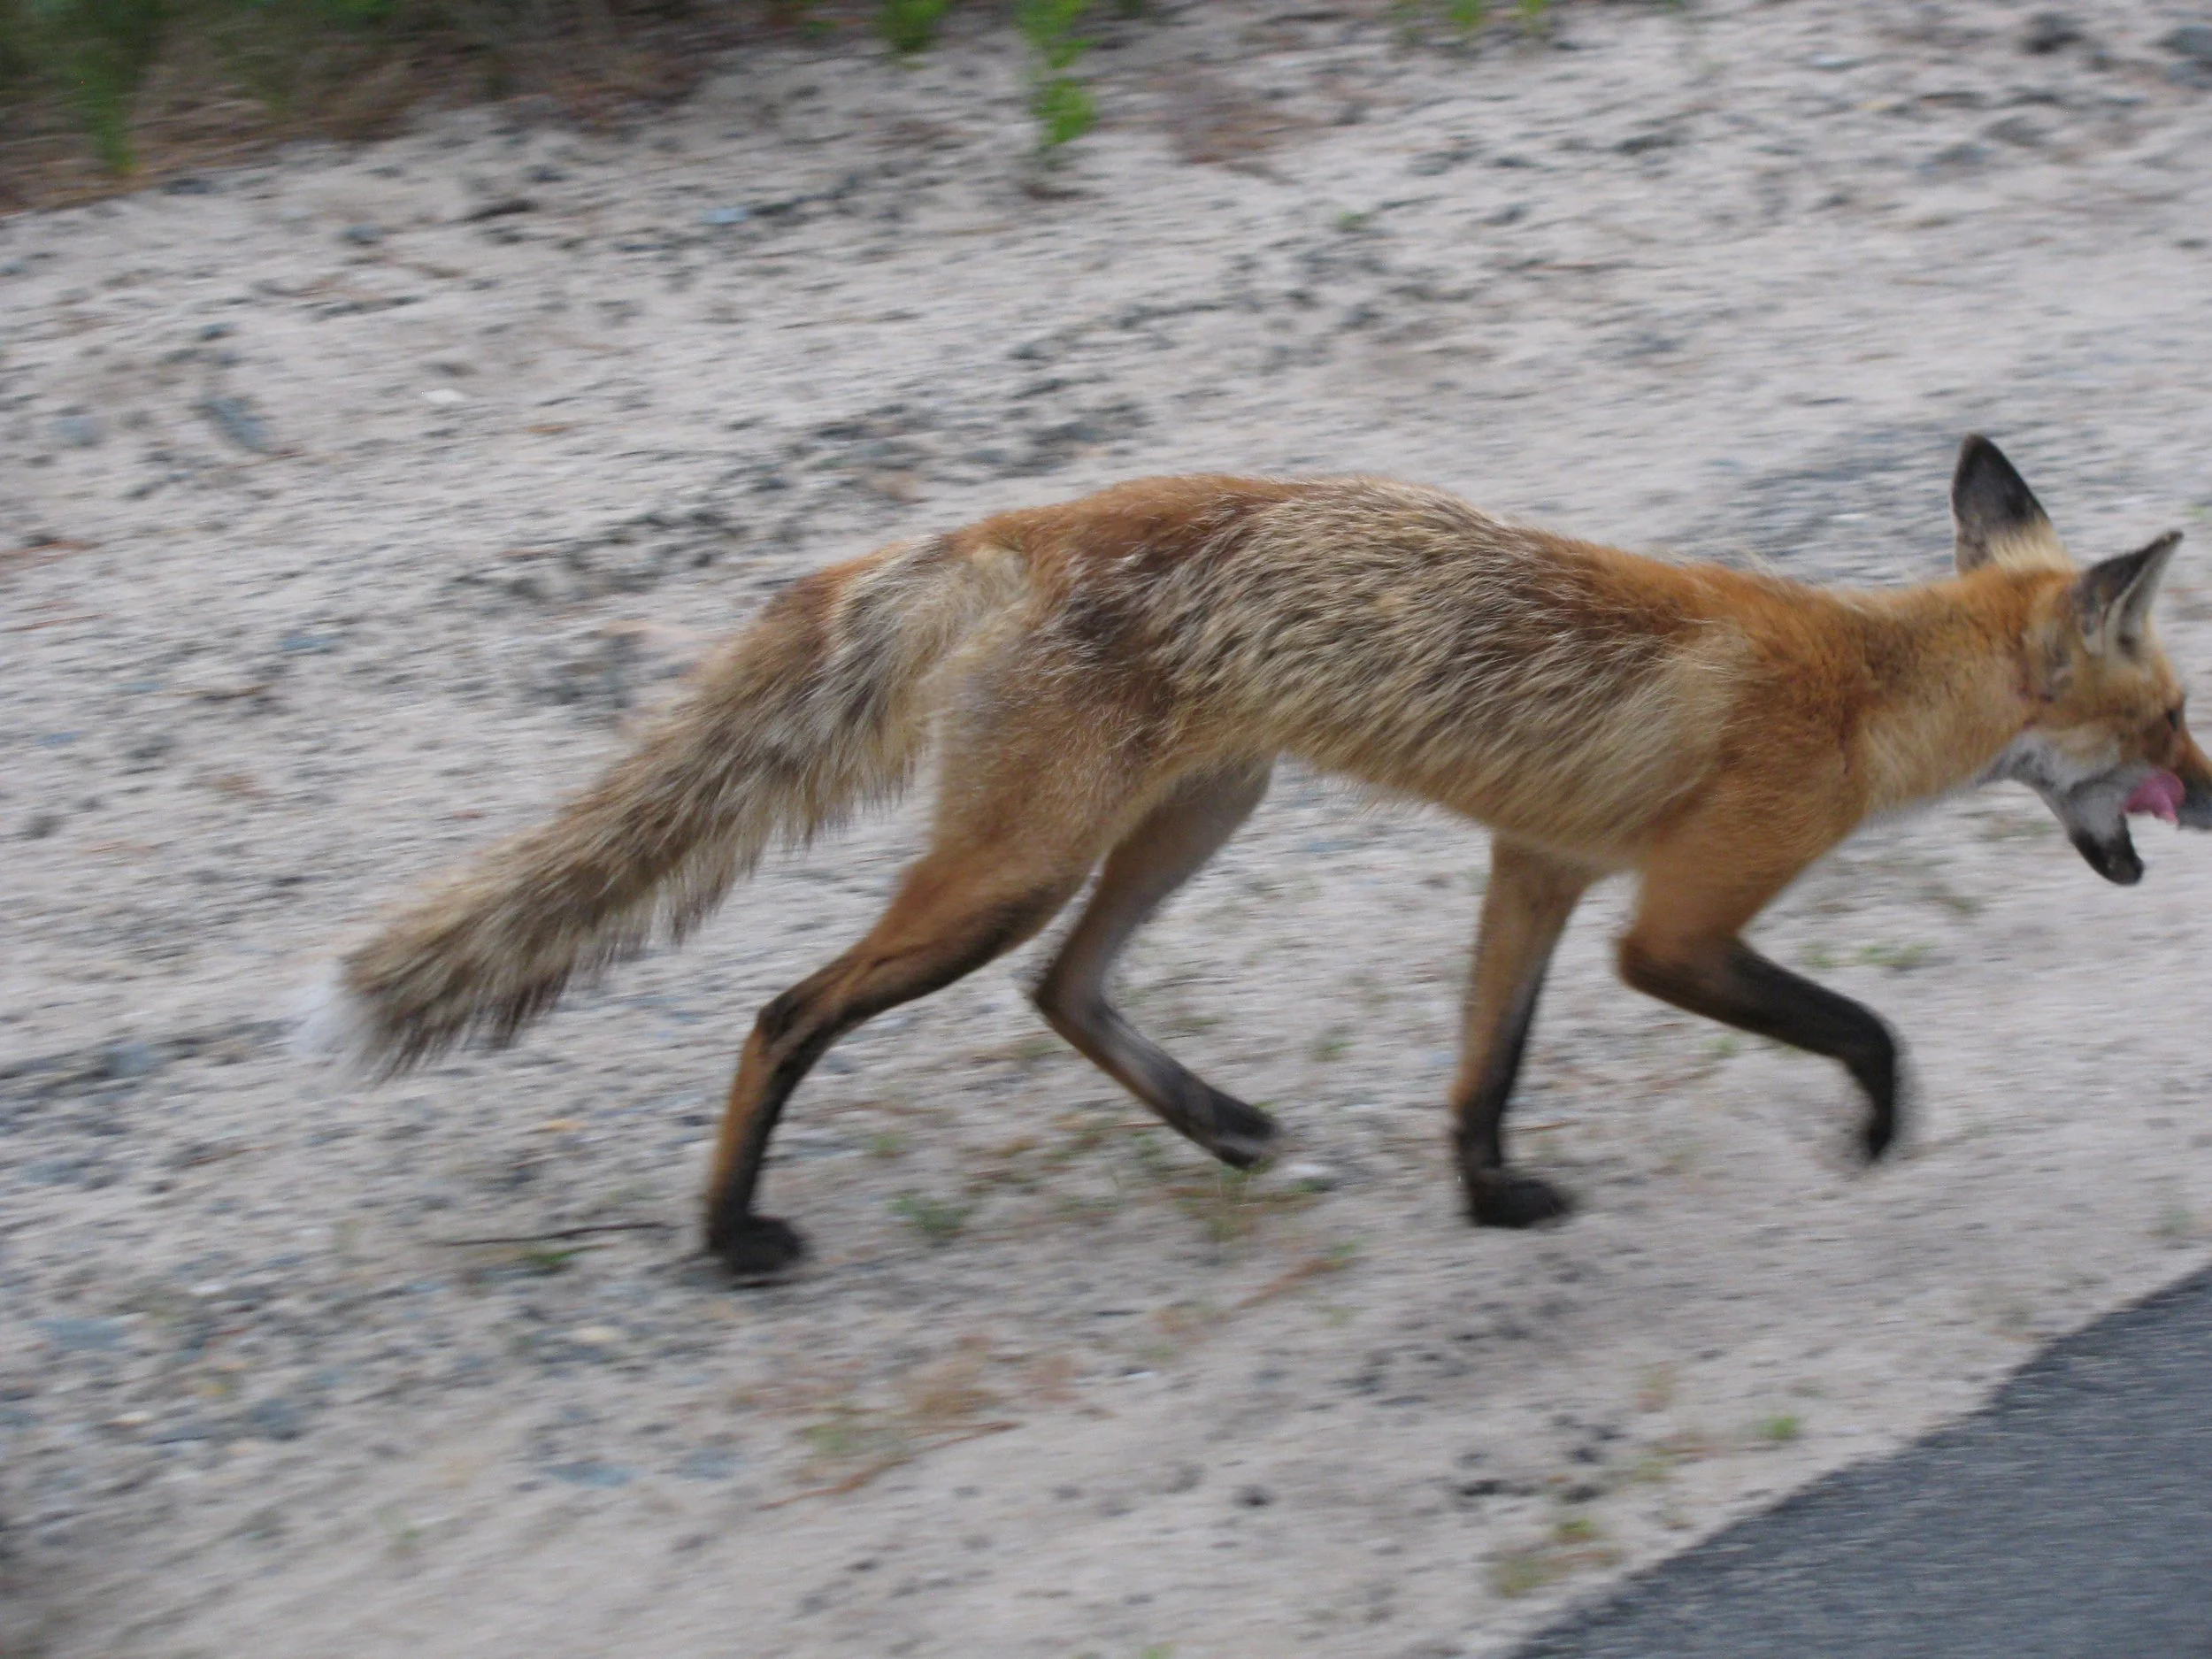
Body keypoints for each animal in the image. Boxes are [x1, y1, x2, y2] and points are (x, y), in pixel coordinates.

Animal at [305, 435, 2212, 1278]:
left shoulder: (1537, 867)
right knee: (787, 1012)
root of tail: (1017, 521)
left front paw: (1489, 1201)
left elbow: (1481, 1072)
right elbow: (1863, 1024)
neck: (1861, 686)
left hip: (1189, 822)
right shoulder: (1671, 923)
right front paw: (1877, 1130)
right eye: (2171, 718)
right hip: (1018, 864)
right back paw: (728, 1232)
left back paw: (1227, 1130)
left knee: (1063, 992)